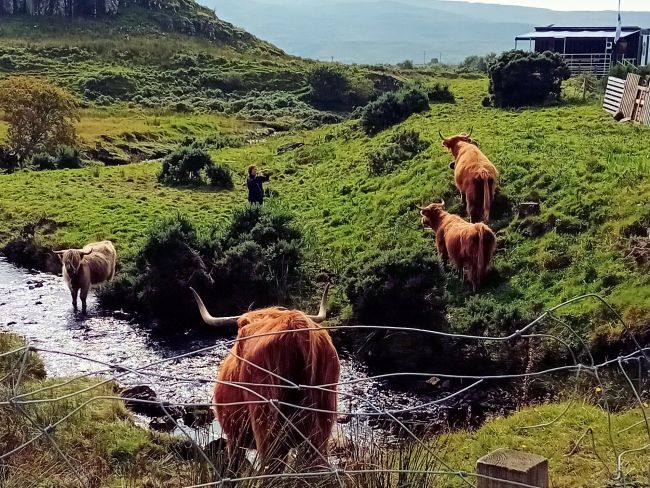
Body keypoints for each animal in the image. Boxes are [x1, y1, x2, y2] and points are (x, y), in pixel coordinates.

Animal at [189, 285, 340, 473]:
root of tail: (296, 323)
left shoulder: (234, 437)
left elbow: (234, 465)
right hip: (323, 418)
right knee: (314, 462)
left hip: (265, 418)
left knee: (272, 464)